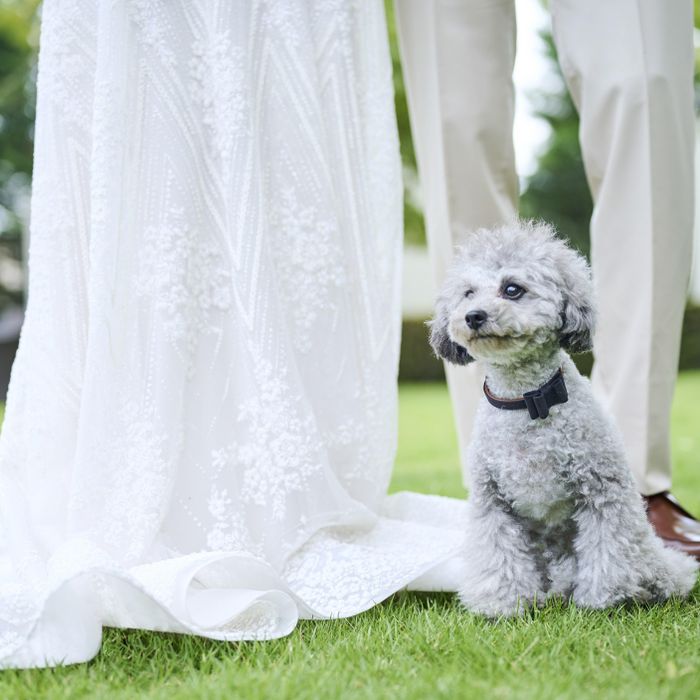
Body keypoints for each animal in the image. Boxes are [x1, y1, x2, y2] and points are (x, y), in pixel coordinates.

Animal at [430, 221, 696, 616]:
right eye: (467, 293)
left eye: (512, 289)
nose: (472, 316)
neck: (526, 400)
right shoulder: (492, 503)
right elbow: (498, 554)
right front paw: (505, 604)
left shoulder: (601, 491)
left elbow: (608, 550)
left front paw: (602, 599)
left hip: (647, 551)